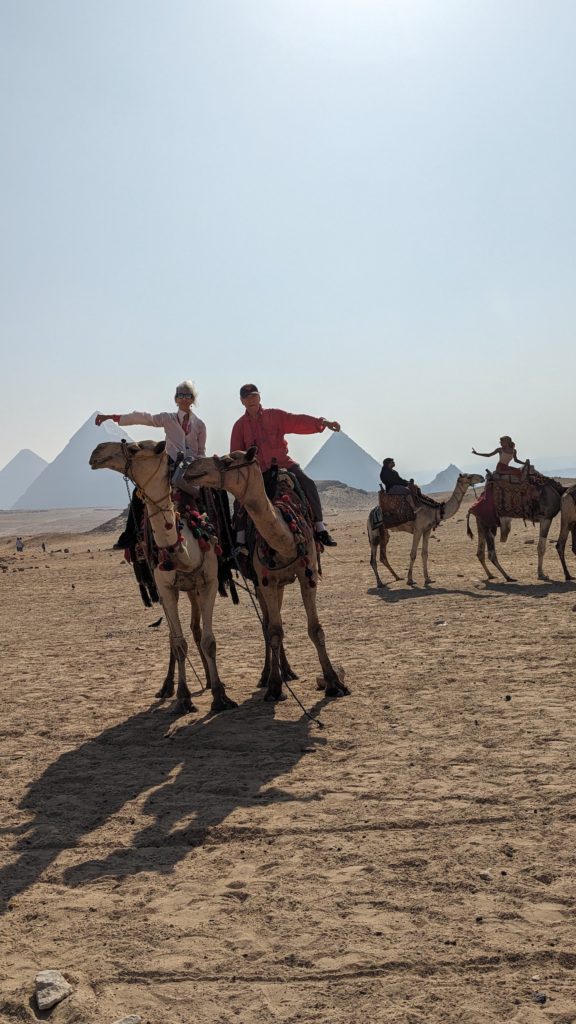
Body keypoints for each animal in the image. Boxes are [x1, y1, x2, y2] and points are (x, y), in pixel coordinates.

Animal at [88, 438, 235, 712]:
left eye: (134, 448)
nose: (97, 452)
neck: (186, 546)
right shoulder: (166, 589)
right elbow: (177, 643)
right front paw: (183, 697)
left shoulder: (208, 583)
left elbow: (209, 640)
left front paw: (220, 695)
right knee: (174, 635)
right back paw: (167, 687)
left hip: (194, 589)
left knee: (196, 629)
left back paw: (208, 679)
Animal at [177, 448, 348, 704]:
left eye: (228, 460)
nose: (191, 467)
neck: (286, 540)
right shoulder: (266, 581)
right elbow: (274, 631)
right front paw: (274, 687)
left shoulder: (307, 574)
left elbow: (315, 629)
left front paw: (334, 683)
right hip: (261, 583)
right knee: (268, 625)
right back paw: (268, 674)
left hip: (281, 583)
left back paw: (287, 671)